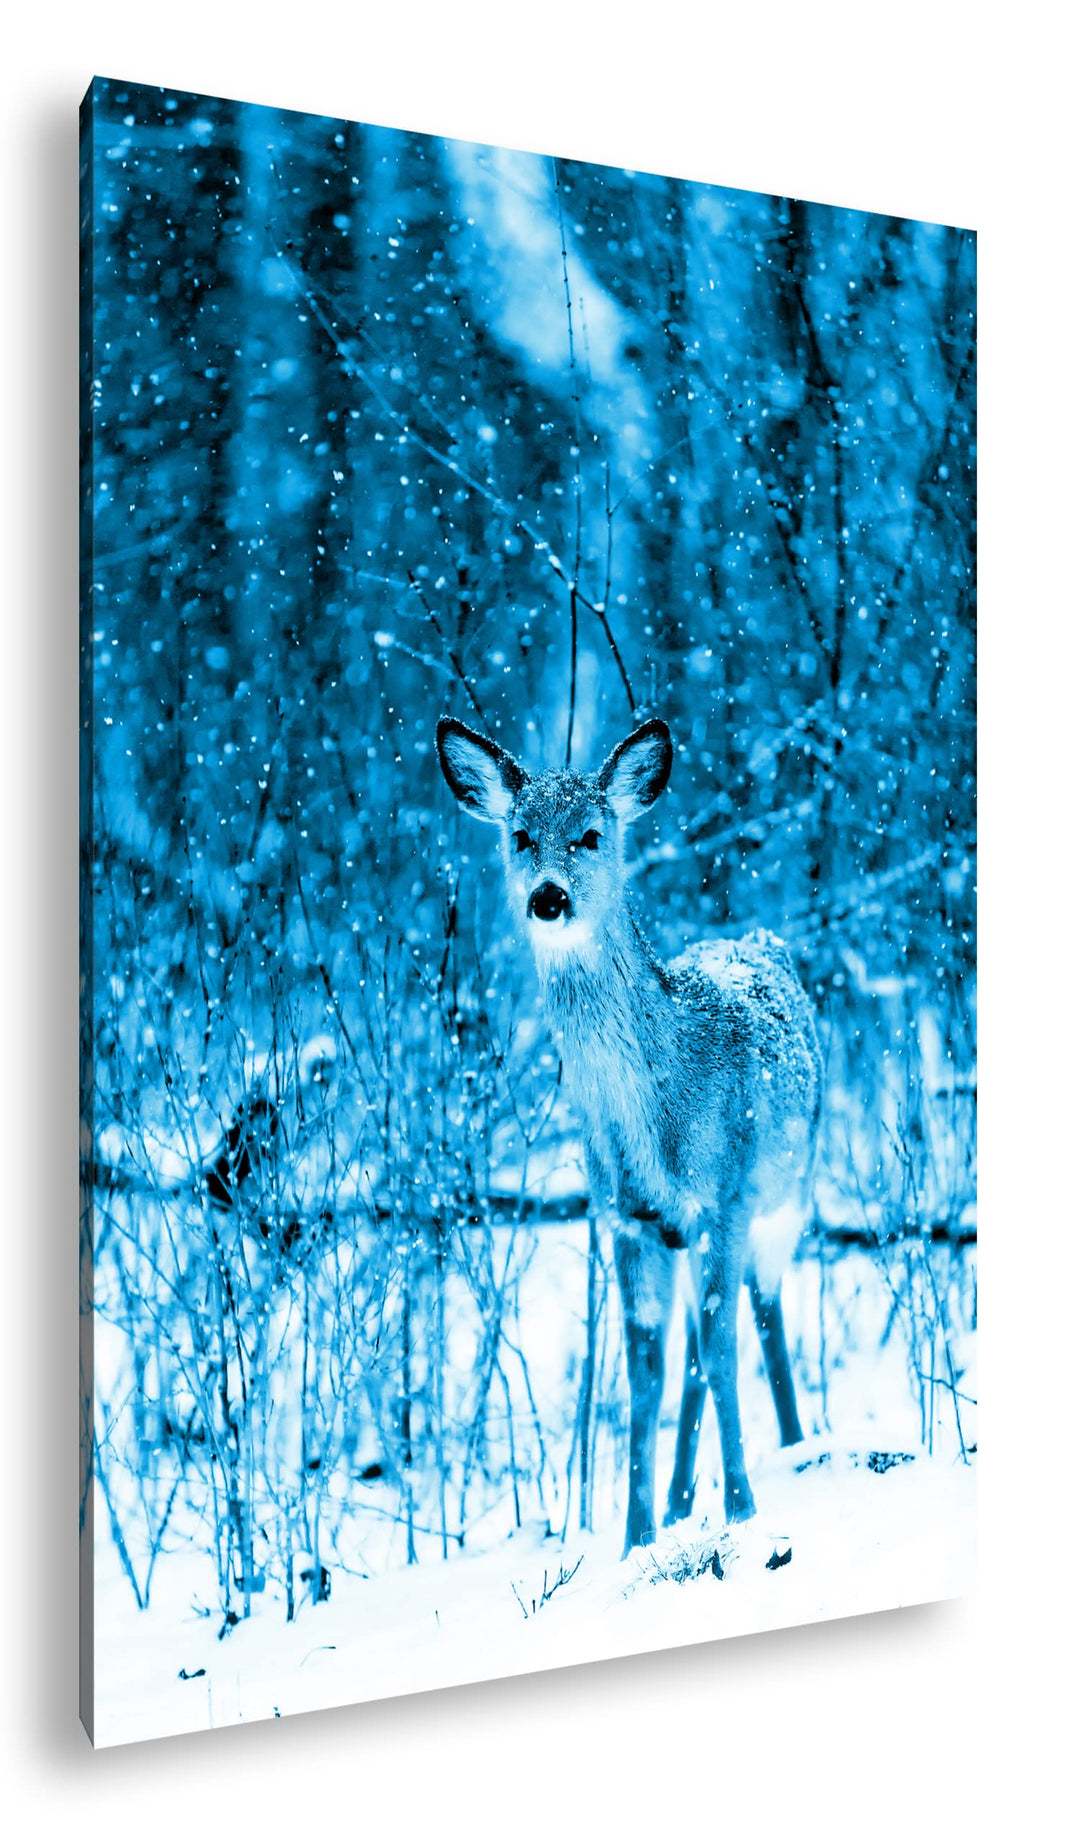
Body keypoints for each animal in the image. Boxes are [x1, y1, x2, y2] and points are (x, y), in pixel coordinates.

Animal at [435, 714, 823, 1555]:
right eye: (519, 835)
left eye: (590, 834)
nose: (548, 897)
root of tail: (759, 938)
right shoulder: (626, 1219)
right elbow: (646, 1376)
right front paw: (636, 1538)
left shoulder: (727, 1198)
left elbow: (722, 1350)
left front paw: (742, 1510)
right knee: (691, 1356)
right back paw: (680, 1503)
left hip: (788, 1196)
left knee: (764, 1311)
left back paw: (798, 1447)